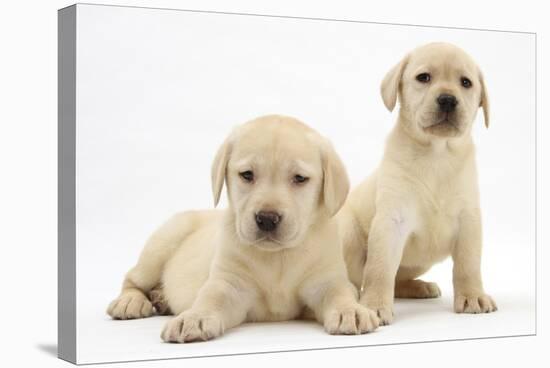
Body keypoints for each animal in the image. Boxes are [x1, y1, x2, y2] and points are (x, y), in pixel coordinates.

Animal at [107, 115, 380, 342]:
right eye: (247, 175)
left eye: (300, 178)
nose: (267, 219)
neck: (277, 258)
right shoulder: (230, 284)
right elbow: (211, 297)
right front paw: (195, 317)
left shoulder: (326, 279)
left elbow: (340, 293)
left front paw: (351, 311)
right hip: (163, 241)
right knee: (132, 277)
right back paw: (131, 301)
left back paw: (161, 298)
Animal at [340, 42, 500, 324]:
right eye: (423, 78)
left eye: (466, 83)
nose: (447, 99)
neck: (437, 153)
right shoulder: (391, 220)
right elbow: (380, 268)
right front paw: (374, 305)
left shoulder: (469, 217)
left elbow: (468, 264)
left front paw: (473, 295)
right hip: (348, 234)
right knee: (356, 280)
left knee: (399, 279)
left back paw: (419, 287)